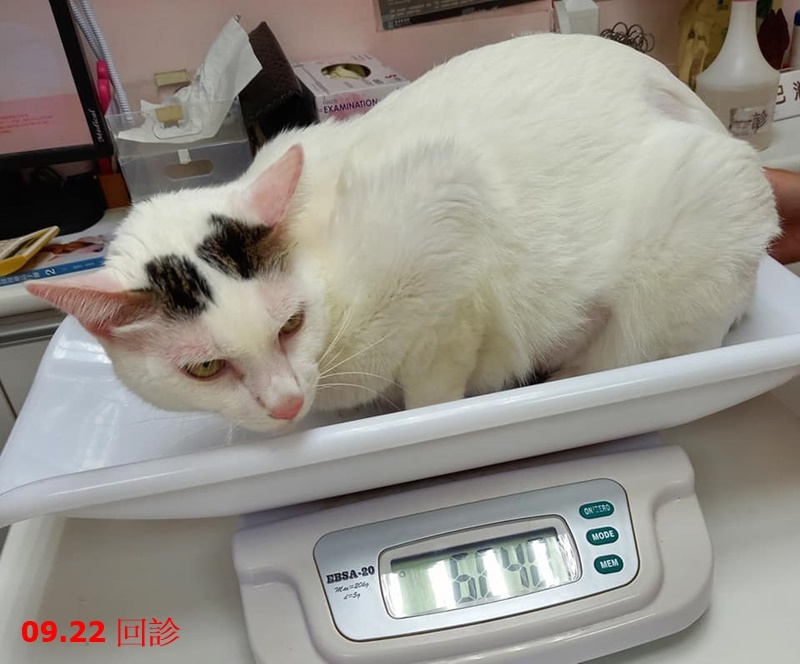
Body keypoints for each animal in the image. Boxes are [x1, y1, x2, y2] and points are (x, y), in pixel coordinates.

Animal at [28, 33, 780, 432]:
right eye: (205, 369)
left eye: (290, 324)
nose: (286, 402)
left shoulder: (449, 221)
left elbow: (434, 384)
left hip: (690, 239)